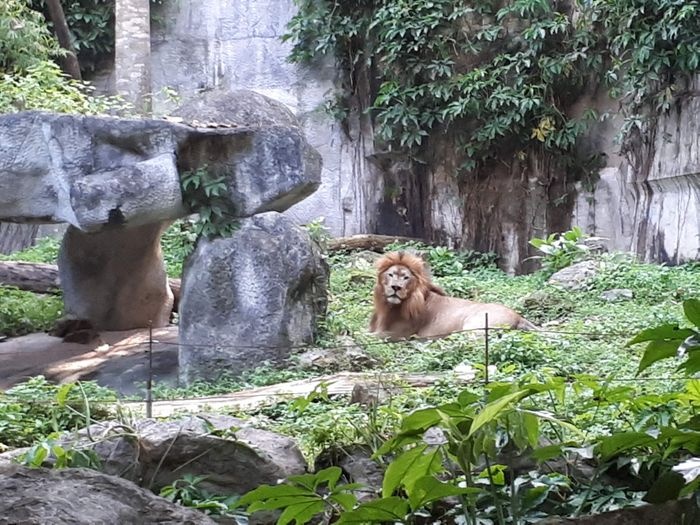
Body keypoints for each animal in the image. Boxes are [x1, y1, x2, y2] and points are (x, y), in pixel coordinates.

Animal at [368, 251, 537, 340]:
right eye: (390, 275)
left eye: (406, 277)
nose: (395, 287)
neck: (389, 307)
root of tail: (519, 316)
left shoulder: (399, 334)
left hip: (474, 326)